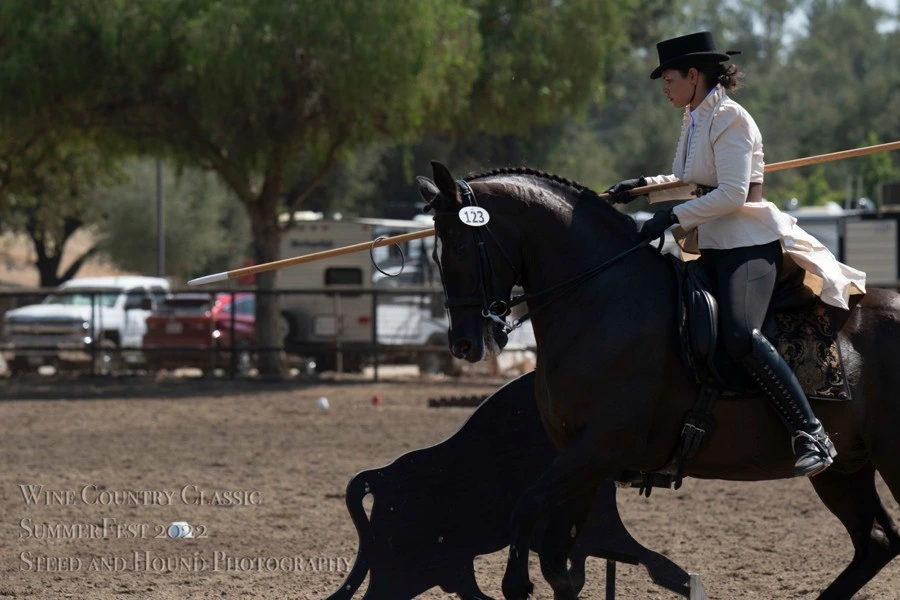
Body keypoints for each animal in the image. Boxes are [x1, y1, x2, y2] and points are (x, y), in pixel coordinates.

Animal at [418, 162, 900, 600]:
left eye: (458, 246)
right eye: (436, 253)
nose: (464, 344)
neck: (599, 300)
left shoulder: (598, 447)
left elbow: (525, 508)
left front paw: (517, 583)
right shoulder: (582, 460)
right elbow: (557, 561)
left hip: (886, 458)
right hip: (846, 468)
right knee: (876, 542)